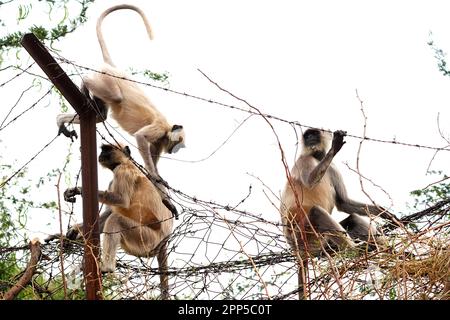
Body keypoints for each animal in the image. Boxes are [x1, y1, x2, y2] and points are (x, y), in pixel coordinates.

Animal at [65, 144, 174, 298]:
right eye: (103, 149)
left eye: (107, 149)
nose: (101, 155)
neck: (126, 162)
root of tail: (164, 239)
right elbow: (109, 213)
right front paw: (74, 231)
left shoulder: (122, 171)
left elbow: (121, 201)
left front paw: (80, 190)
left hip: (147, 239)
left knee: (116, 219)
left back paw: (107, 267)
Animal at [282, 128, 398, 300]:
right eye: (307, 136)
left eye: (314, 134)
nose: (310, 139)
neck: (317, 157)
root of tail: (298, 251)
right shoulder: (303, 160)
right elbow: (310, 182)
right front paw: (334, 148)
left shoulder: (332, 168)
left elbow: (344, 203)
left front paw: (385, 214)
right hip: (305, 236)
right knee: (316, 212)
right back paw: (357, 252)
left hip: (323, 242)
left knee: (353, 219)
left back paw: (389, 252)